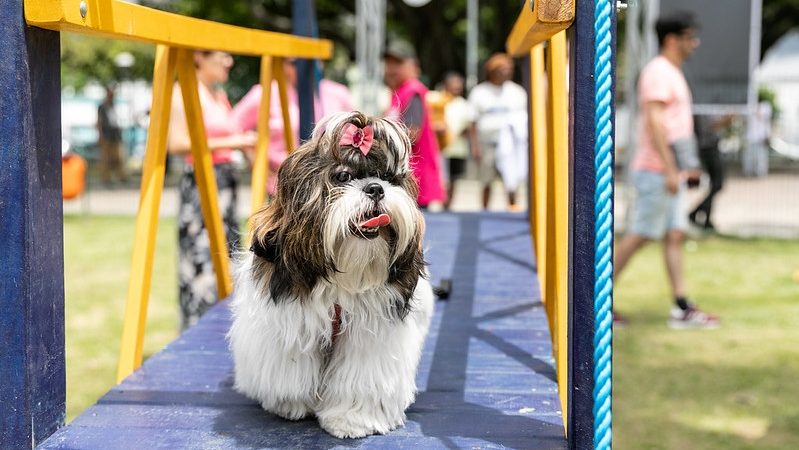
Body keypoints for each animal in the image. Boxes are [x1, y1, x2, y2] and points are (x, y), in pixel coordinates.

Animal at [228, 110, 434, 438]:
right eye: (343, 177)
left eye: (388, 178)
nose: (375, 188)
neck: (342, 281)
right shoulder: (291, 324)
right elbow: (293, 366)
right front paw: (291, 404)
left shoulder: (371, 333)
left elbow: (362, 377)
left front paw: (352, 418)